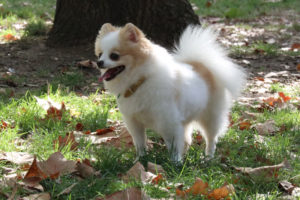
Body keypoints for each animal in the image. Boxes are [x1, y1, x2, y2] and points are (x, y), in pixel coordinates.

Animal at [94, 22, 246, 162]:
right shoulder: (134, 121)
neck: (140, 81)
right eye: (100, 54)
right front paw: (140, 159)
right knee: (187, 139)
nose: (99, 62)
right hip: (186, 118)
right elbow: (140, 142)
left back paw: (208, 158)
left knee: (211, 138)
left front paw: (175, 163)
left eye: (114, 56)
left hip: (211, 116)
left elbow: (173, 145)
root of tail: (202, 64)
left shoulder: (168, 121)